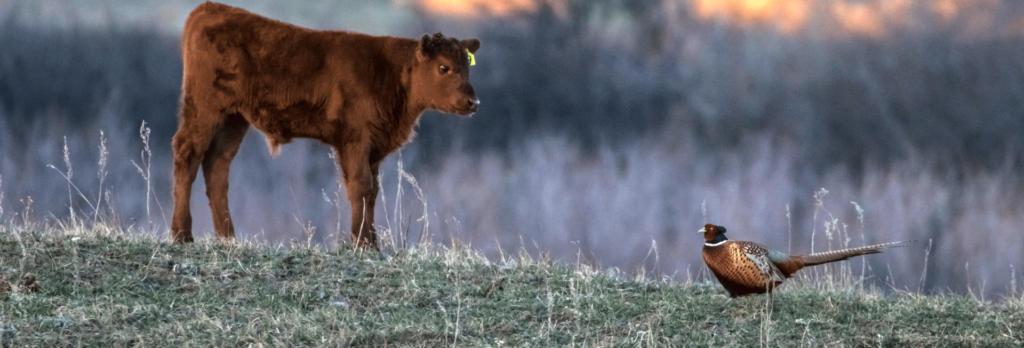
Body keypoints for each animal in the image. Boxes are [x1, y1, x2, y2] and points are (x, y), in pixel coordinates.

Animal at [173, 2, 483, 247]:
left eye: (467, 68)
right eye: (443, 67)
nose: (473, 102)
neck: (392, 74)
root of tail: (209, 8)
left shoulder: (373, 148)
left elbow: (372, 191)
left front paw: (372, 243)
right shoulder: (355, 140)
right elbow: (361, 186)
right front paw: (361, 243)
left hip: (233, 120)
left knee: (217, 167)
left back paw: (227, 238)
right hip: (204, 110)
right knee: (188, 155)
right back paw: (181, 234)